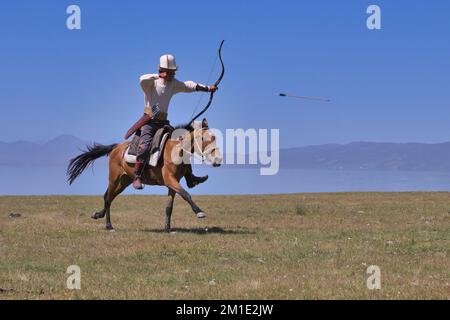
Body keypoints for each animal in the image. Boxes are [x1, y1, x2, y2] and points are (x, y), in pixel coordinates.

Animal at [66, 119, 221, 231]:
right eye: (203, 138)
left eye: (214, 137)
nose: (218, 160)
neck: (176, 150)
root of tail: (116, 147)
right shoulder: (170, 180)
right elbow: (186, 194)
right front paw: (199, 212)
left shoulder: (172, 183)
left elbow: (169, 207)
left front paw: (167, 228)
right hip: (114, 179)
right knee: (107, 197)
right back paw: (109, 225)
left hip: (124, 181)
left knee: (108, 197)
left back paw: (99, 216)